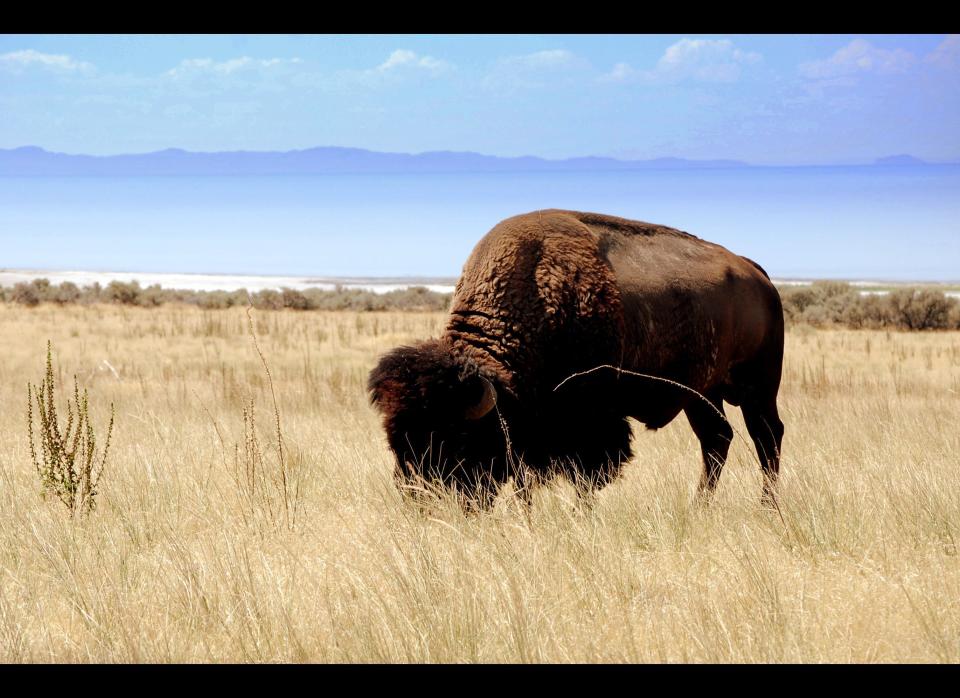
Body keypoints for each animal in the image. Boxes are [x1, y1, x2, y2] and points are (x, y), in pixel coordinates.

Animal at [368, 207, 780, 506]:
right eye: (394, 440)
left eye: (454, 437)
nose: (418, 499)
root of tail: (757, 274)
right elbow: (528, 479)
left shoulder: (590, 420)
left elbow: (586, 475)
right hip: (701, 394)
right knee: (717, 439)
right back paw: (700, 506)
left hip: (759, 388)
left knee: (767, 437)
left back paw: (767, 506)